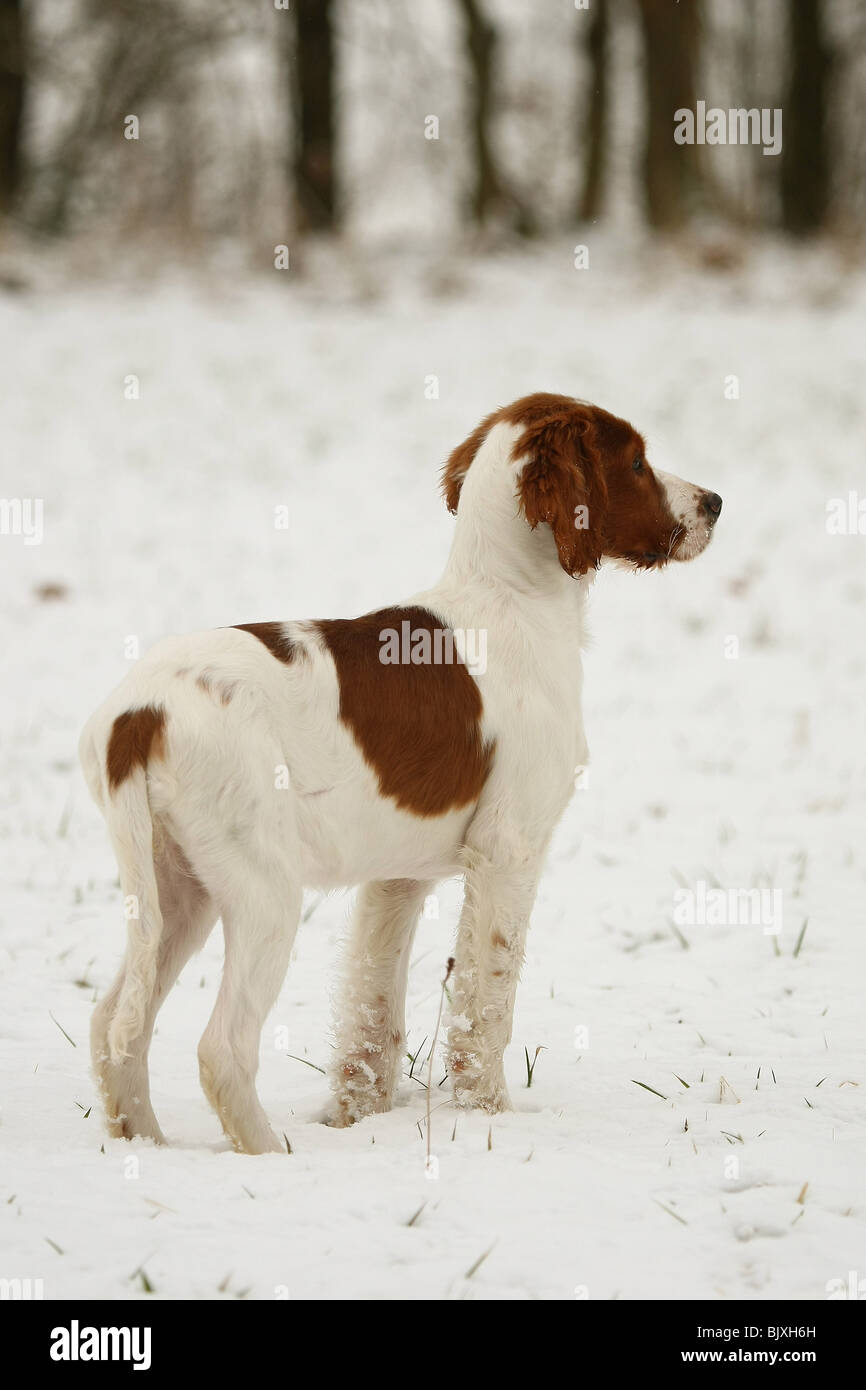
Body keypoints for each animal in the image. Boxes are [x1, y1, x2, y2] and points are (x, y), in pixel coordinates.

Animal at [79, 391, 717, 1150]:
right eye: (638, 463)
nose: (714, 502)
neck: (509, 595)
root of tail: (139, 711)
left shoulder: (397, 876)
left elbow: (372, 1008)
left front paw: (358, 1117)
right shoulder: (508, 851)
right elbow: (486, 1003)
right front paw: (489, 1116)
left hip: (176, 888)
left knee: (116, 1024)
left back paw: (144, 1144)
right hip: (262, 890)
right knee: (221, 1047)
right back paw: (269, 1153)